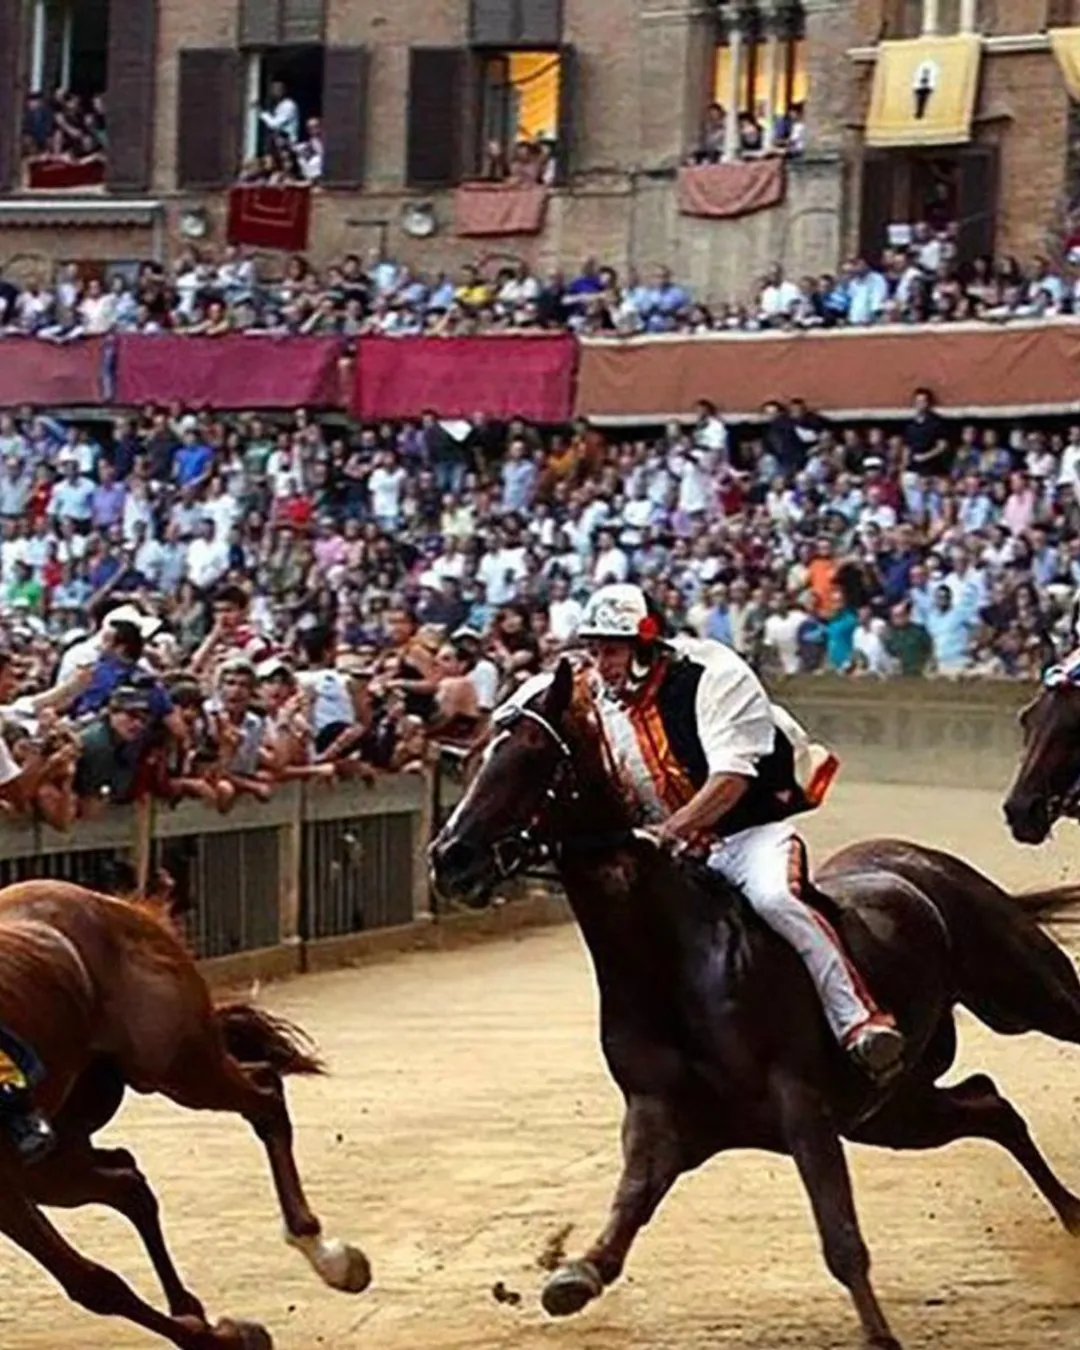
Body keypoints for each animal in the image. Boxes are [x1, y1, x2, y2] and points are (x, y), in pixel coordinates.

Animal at [0, 874, 372, 1350]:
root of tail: (118, 906)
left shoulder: (3, 1188)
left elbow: (94, 1285)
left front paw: (231, 1338)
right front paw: (218, 1331)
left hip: (177, 1066)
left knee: (265, 1094)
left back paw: (325, 1255)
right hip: (53, 1157)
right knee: (129, 1183)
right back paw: (191, 1306)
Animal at [429, 664, 1080, 1350]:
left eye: (532, 755)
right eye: (474, 755)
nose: (451, 856)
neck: (671, 962)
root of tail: (923, 864)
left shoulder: (801, 1102)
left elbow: (840, 1237)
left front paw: (880, 1335)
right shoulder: (661, 1112)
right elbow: (627, 1207)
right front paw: (573, 1275)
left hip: (1028, 995)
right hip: (892, 1111)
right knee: (991, 1105)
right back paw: (1073, 1217)